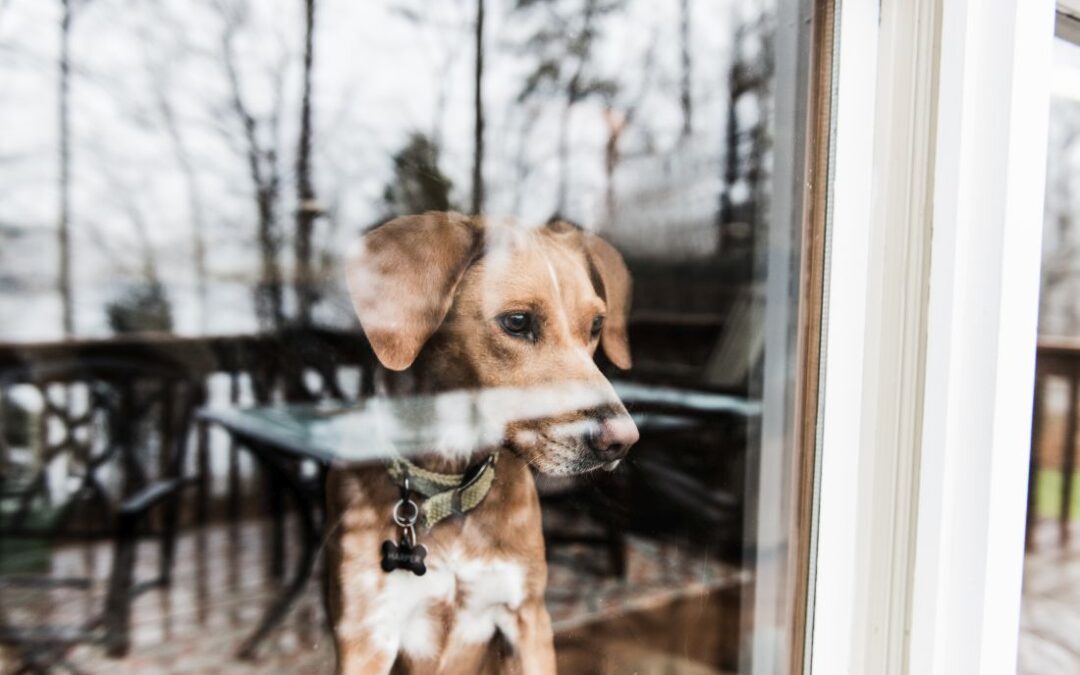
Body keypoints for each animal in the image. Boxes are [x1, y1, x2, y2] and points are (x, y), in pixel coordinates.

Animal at [324, 212, 635, 669]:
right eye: (517, 322)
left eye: (596, 326)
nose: (623, 441)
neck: (451, 487)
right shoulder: (367, 634)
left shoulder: (528, 619)